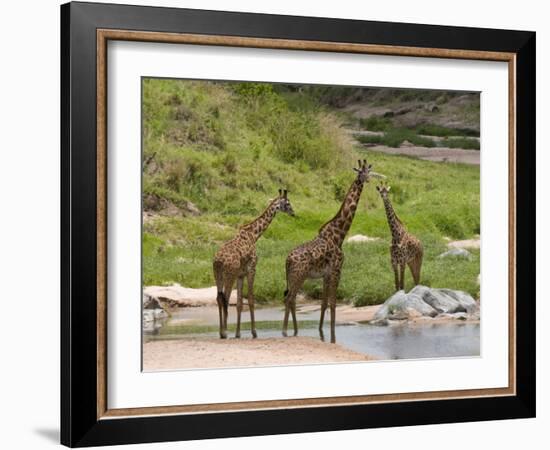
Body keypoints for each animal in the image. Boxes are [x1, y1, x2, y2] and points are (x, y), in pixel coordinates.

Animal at [213, 188, 296, 340]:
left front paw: (238, 333)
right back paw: (224, 332)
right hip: (229, 275)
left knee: (219, 298)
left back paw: (222, 332)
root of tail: (218, 261)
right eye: (287, 203)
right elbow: (251, 300)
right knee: (225, 298)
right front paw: (254, 332)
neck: (254, 234)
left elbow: (240, 304)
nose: (294, 213)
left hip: (218, 276)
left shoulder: (240, 275)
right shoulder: (252, 269)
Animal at [282, 160, 382, 342]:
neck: (339, 235)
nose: (368, 180)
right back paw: (286, 331)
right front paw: (333, 333)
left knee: (290, 299)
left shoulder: (326, 274)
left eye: (368, 171)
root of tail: (287, 260)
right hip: (300, 275)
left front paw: (321, 331)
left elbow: (324, 303)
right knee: (290, 298)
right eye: (361, 172)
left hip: (293, 277)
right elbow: (333, 303)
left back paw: (295, 330)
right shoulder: (337, 270)